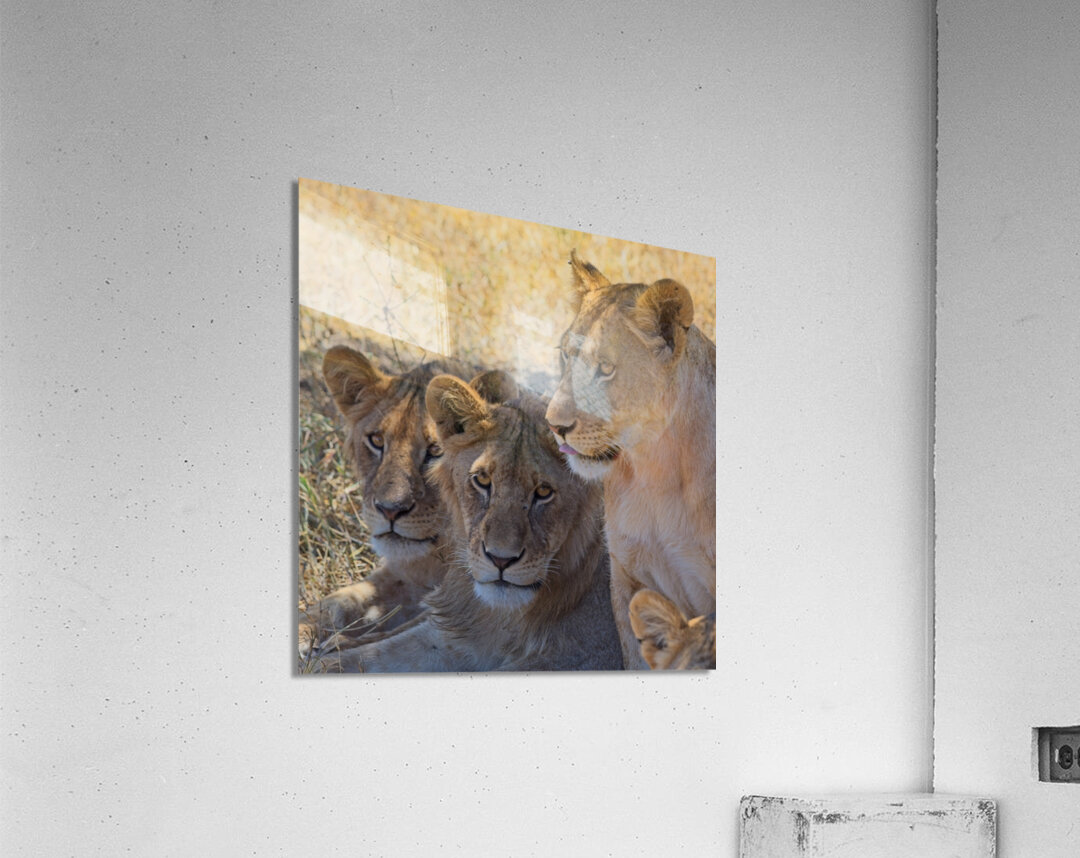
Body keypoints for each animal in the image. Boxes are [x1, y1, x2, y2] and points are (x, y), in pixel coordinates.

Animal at [299, 346, 464, 654]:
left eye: (436, 450)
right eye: (376, 441)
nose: (390, 510)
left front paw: (337, 645)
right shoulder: (404, 574)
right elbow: (337, 601)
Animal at [309, 372, 623, 673]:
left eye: (544, 492)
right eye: (482, 480)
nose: (500, 560)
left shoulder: (586, 656)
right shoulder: (455, 635)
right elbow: (356, 659)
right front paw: (321, 655)